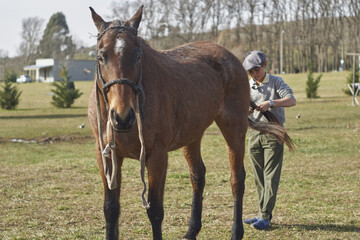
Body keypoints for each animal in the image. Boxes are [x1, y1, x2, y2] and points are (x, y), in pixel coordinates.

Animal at [88, 5, 292, 240]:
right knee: (198, 176)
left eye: (138, 55)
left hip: (234, 128)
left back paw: (236, 231)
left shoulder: (157, 155)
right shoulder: (105, 155)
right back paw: (192, 230)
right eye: (101, 56)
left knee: (237, 179)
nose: (122, 116)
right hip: (192, 136)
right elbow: (111, 209)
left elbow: (155, 210)